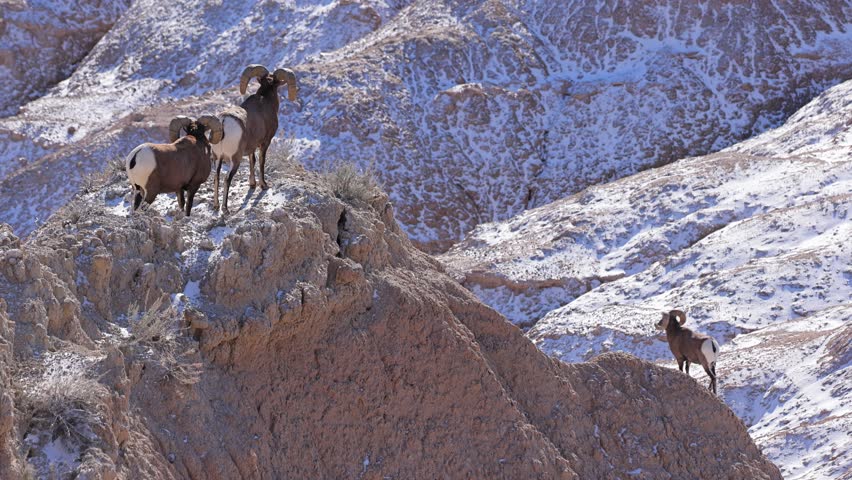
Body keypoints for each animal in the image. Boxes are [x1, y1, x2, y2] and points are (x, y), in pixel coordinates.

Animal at [212, 64, 298, 214]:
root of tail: (224, 121)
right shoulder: (265, 143)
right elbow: (261, 162)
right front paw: (264, 185)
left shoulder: (251, 147)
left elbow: (252, 161)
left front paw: (252, 184)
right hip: (235, 159)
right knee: (227, 179)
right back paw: (226, 209)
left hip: (218, 158)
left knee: (216, 177)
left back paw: (216, 206)